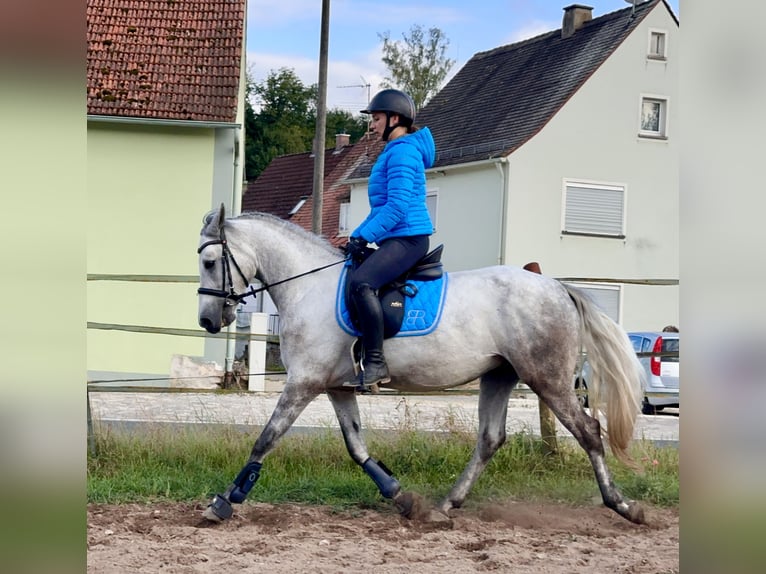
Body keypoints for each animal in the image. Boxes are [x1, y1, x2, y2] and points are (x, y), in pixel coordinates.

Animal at [195, 206, 644, 528]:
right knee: (490, 439)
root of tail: (558, 288)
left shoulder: (303, 383)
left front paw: (224, 502)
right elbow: (357, 447)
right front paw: (403, 498)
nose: (208, 321)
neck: (307, 288)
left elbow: (265, 440)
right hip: (499, 374)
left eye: (211, 262)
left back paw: (623, 506)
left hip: (547, 378)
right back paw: (447, 504)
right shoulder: (336, 387)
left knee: (589, 431)